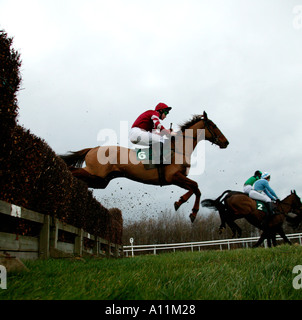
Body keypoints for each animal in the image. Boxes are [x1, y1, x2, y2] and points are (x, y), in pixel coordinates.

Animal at [59, 111, 229, 221]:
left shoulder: (176, 179)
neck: (179, 148)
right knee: (73, 171)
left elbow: (195, 188)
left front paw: (183, 204)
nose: (226, 142)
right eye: (213, 125)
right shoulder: (173, 176)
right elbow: (196, 187)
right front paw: (189, 209)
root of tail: (92, 149)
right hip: (96, 173)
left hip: (101, 180)